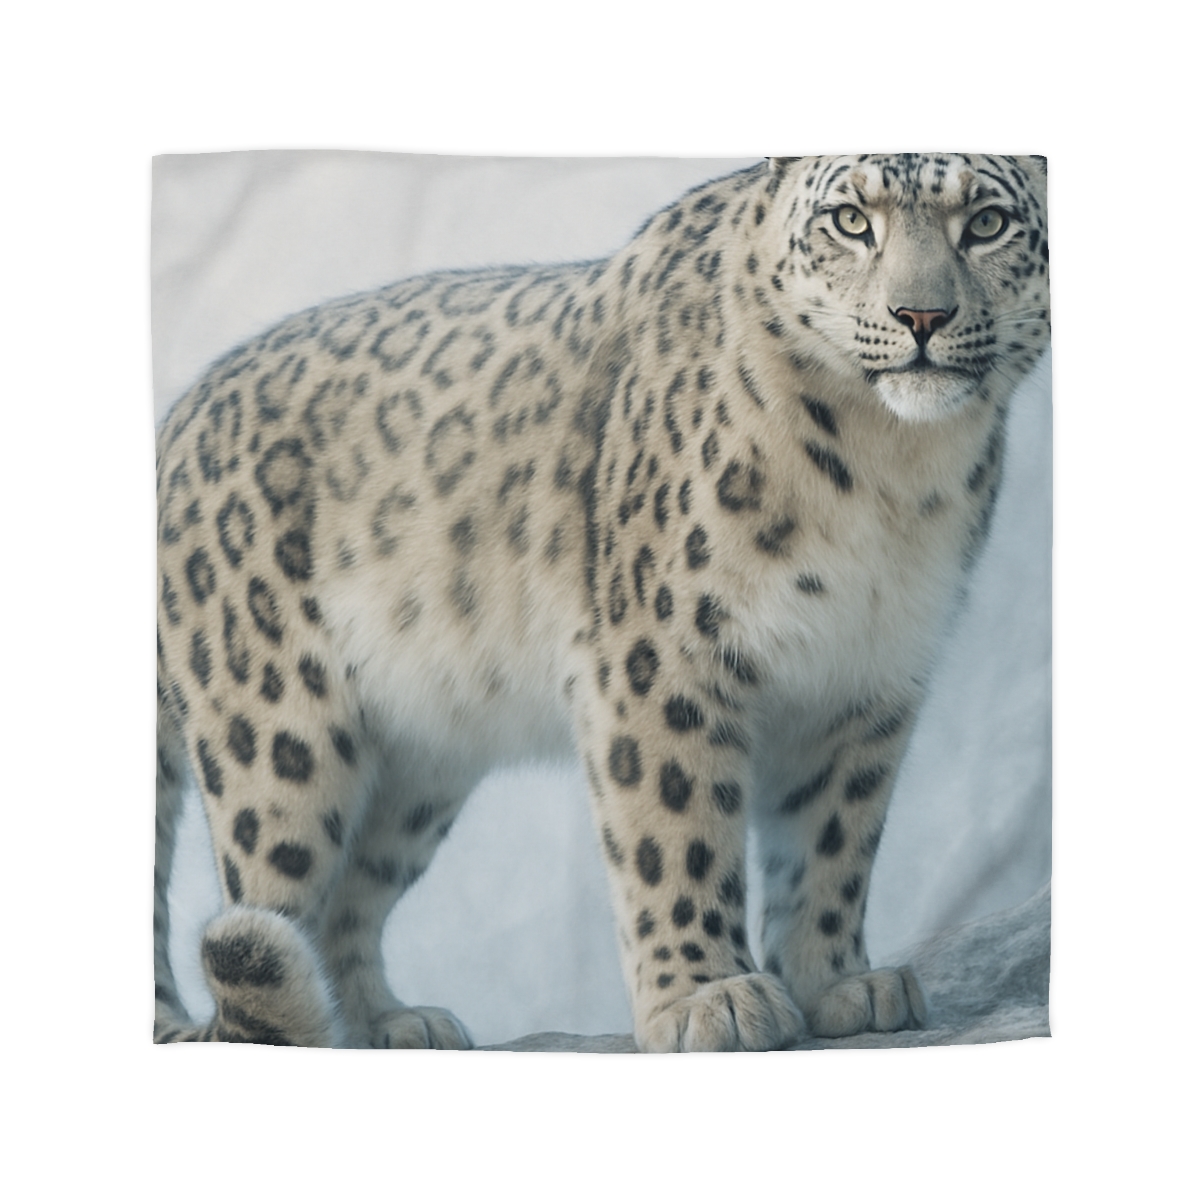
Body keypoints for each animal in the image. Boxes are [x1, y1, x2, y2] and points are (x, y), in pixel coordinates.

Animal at [154, 153, 1050, 1052]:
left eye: (987, 222)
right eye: (852, 220)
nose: (922, 315)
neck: (892, 469)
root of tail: (174, 420)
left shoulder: (869, 672)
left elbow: (833, 837)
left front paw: (839, 982)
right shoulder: (663, 651)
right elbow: (678, 826)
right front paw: (709, 997)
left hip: (419, 766)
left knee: (350, 893)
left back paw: (393, 1023)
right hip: (279, 738)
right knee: (270, 904)